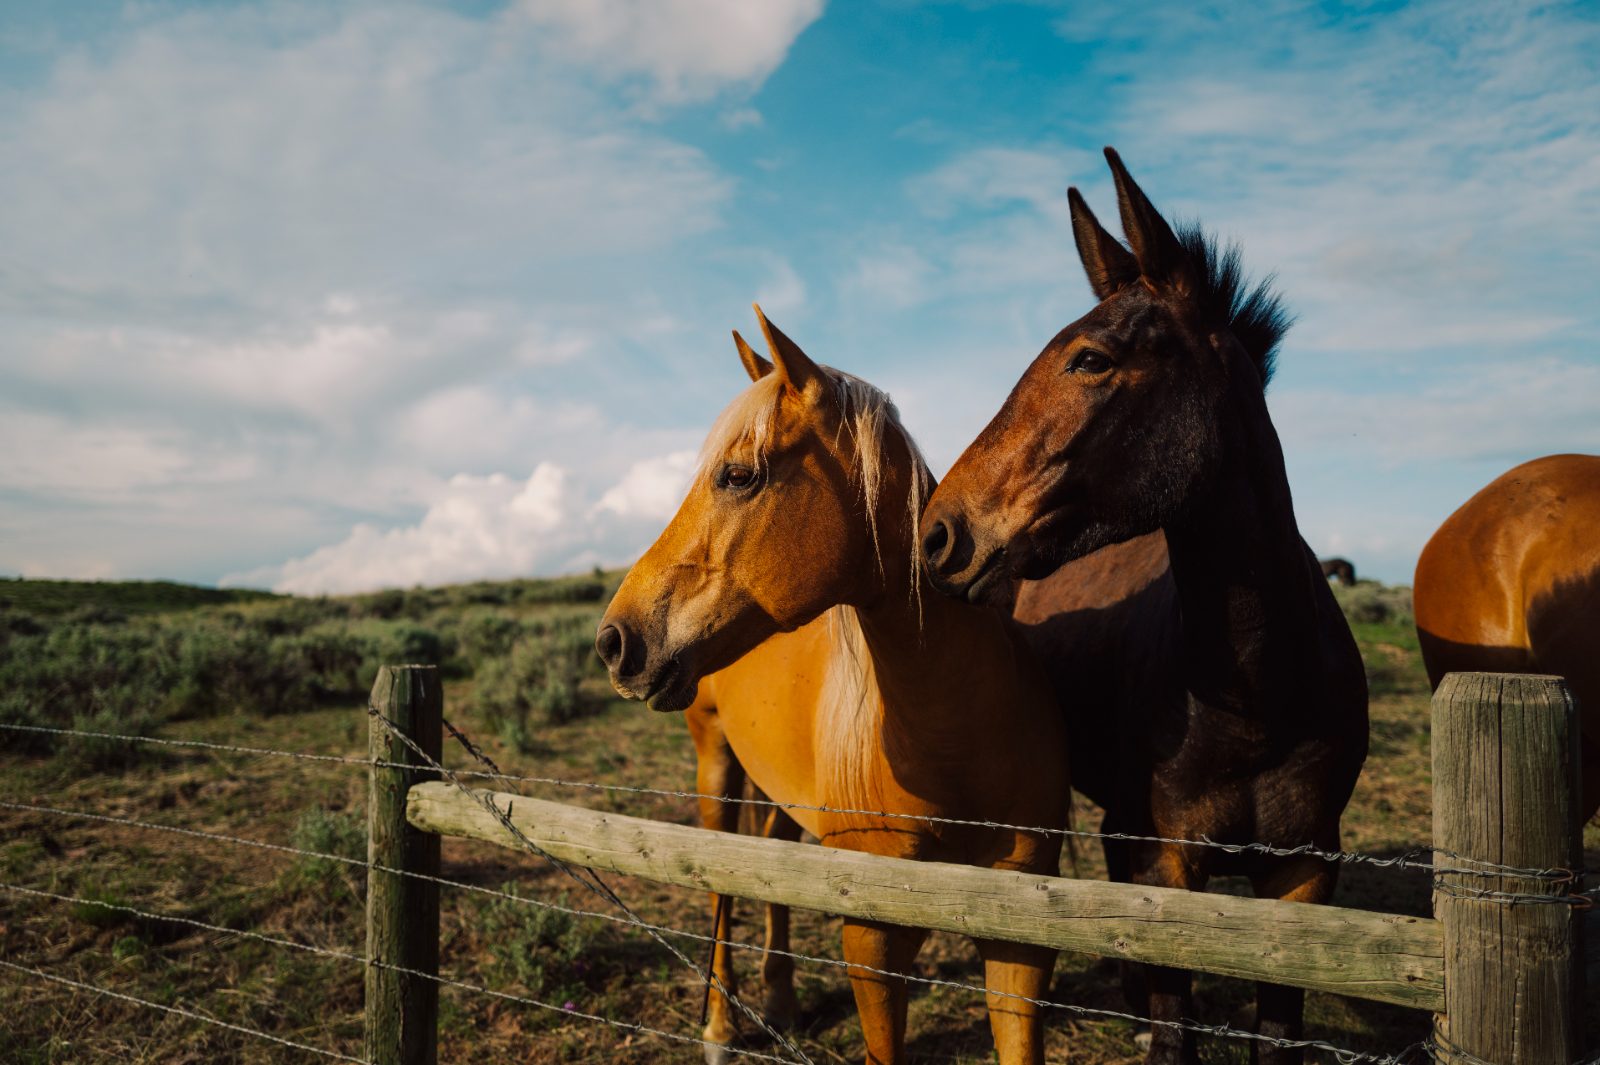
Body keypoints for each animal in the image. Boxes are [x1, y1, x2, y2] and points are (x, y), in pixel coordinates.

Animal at [596, 308, 1068, 1065]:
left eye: (737, 475)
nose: (614, 640)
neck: (954, 746)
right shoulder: (872, 938)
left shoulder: (1024, 931)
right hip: (714, 762)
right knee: (722, 876)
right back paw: (720, 1027)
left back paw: (781, 999)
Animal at [918, 149, 1369, 1065]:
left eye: (1092, 359)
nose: (940, 533)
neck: (1258, 699)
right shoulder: (1168, 864)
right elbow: (1172, 1028)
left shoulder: (1305, 873)